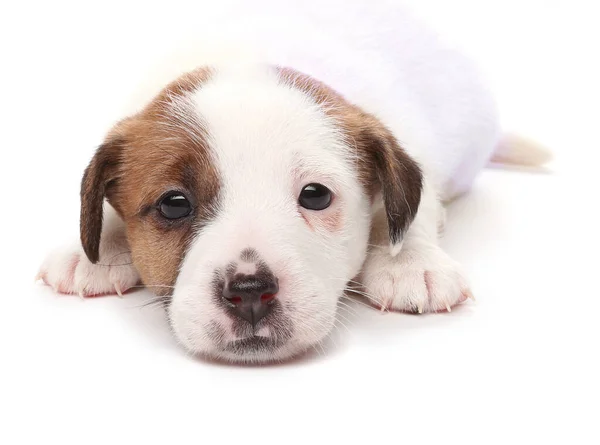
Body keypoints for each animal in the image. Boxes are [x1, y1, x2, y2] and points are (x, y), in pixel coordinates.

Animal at [37, 0, 548, 362]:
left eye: (315, 196)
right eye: (174, 203)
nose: (249, 292)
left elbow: (410, 213)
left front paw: (409, 262)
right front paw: (93, 248)